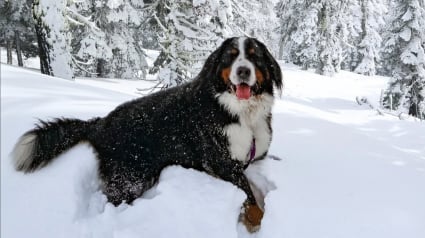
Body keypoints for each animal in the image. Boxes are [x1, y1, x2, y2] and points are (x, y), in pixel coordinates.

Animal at [10, 37, 282, 232]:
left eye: (255, 57)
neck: (240, 113)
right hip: (130, 177)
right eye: (231, 57)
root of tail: (100, 123)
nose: (244, 71)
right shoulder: (219, 161)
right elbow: (250, 197)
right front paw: (257, 220)